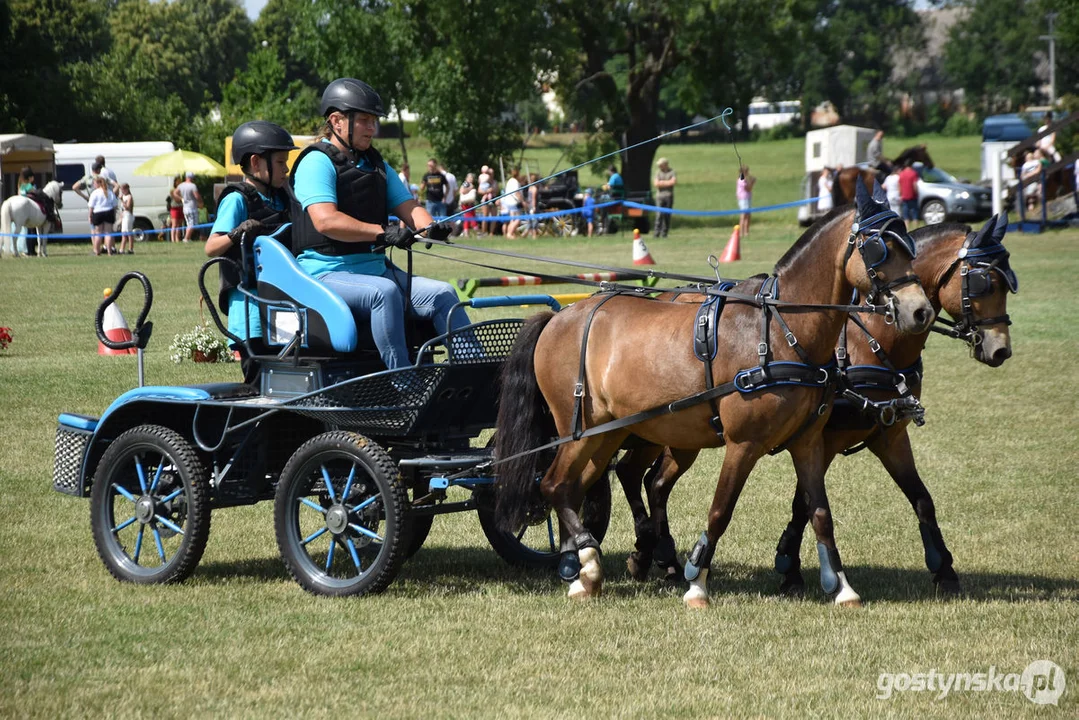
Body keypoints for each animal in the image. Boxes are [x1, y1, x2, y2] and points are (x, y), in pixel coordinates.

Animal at [494, 181, 932, 608]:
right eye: (878, 246)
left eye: (909, 245)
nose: (921, 311)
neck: (781, 331)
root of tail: (557, 318)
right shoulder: (744, 443)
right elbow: (721, 510)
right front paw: (697, 585)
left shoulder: (808, 442)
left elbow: (820, 513)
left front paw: (842, 588)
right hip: (580, 427)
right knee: (554, 485)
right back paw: (588, 557)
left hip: (608, 432)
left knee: (576, 486)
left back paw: (583, 573)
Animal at [617, 213, 1009, 595]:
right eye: (983, 282)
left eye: (1007, 284)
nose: (1000, 349)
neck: (869, 340)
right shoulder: (826, 439)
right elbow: (803, 503)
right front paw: (789, 566)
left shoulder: (889, 436)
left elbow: (921, 498)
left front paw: (944, 570)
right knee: (641, 476)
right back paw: (654, 554)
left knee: (647, 479)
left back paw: (656, 556)